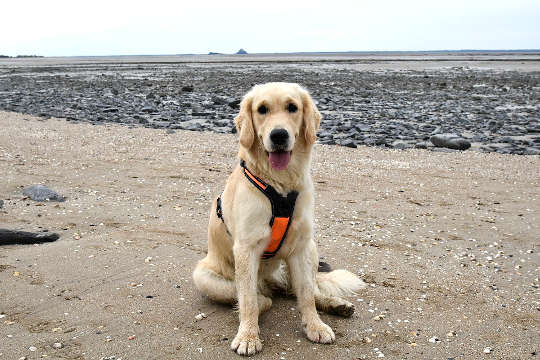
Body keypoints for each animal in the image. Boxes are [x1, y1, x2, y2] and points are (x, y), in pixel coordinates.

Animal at [192, 83, 364, 356]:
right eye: (262, 110)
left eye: (292, 107)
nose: (279, 135)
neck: (280, 185)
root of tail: (272, 283)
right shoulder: (246, 248)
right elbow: (248, 300)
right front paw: (248, 336)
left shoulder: (301, 248)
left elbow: (306, 295)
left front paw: (314, 325)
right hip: (203, 276)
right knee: (257, 298)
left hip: (311, 250)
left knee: (304, 290)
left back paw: (336, 305)